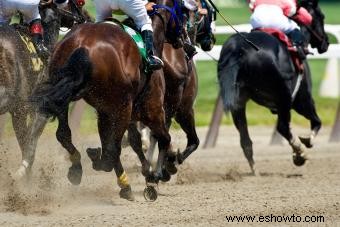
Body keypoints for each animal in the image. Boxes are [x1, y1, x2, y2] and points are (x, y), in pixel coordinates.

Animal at [218, 0, 330, 174]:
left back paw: (255, 170)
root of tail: (239, 49)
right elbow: (316, 122)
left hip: (238, 102)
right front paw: (306, 142)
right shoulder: (302, 99)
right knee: (283, 127)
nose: (326, 42)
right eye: (322, 16)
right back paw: (300, 153)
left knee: (245, 140)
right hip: (284, 97)